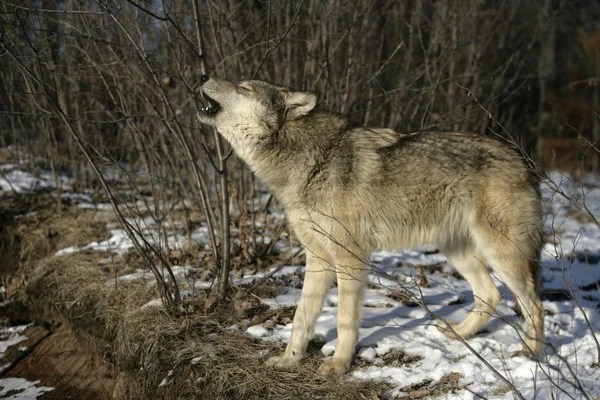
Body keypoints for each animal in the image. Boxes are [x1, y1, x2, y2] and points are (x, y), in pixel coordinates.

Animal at [197, 74, 544, 376]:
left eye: (243, 87)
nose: (202, 75)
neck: (311, 160)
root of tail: (523, 160)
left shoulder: (349, 257)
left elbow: (344, 319)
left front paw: (338, 365)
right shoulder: (318, 257)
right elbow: (301, 317)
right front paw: (289, 359)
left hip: (502, 255)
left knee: (533, 303)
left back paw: (531, 353)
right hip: (458, 251)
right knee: (491, 295)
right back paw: (458, 333)